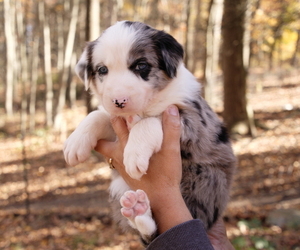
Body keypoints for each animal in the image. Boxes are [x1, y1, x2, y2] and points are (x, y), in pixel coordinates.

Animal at [64, 20, 236, 243]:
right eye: (102, 69)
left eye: (141, 65)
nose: (119, 101)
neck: (143, 108)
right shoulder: (117, 123)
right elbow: (98, 115)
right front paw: (75, 143)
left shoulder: (194, 121)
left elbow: (149, 122)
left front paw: (134, 154)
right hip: (119, 188)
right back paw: (138, 210)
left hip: (205, 179)